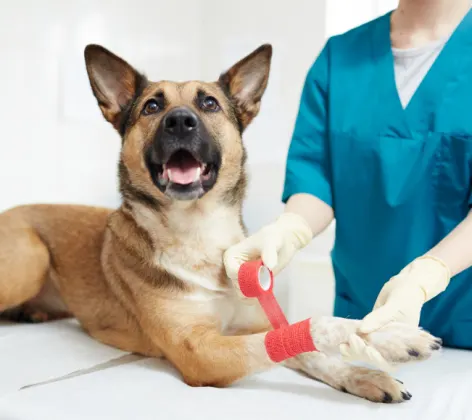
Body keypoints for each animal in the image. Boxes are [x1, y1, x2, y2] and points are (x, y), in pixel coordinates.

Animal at [0, 43, 442, 404]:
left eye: (209, 104)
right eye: (152, 107)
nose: (180, 121)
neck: (199, 233)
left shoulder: (257, 326)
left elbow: (306, 348)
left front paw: (370, 357)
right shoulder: (202, 352)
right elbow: (313, 325)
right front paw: (380, 337)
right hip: (32, 257)